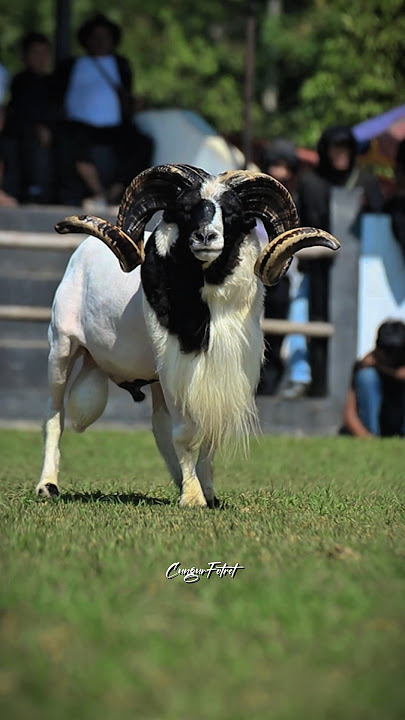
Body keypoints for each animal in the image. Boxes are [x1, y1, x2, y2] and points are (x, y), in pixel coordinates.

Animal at [36, 164, 339, 507]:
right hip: (62, 348)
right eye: (185, 210)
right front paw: (192, 499)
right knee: (54, 415)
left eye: (233, 213)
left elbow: (209, 436)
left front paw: (207, 493)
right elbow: (183, 433)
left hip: (151, 379)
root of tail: (82, 253)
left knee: (158, 427)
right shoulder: (176, 371)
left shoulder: (219, 378)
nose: (206, 236)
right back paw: (47, 486)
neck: (208, 314)